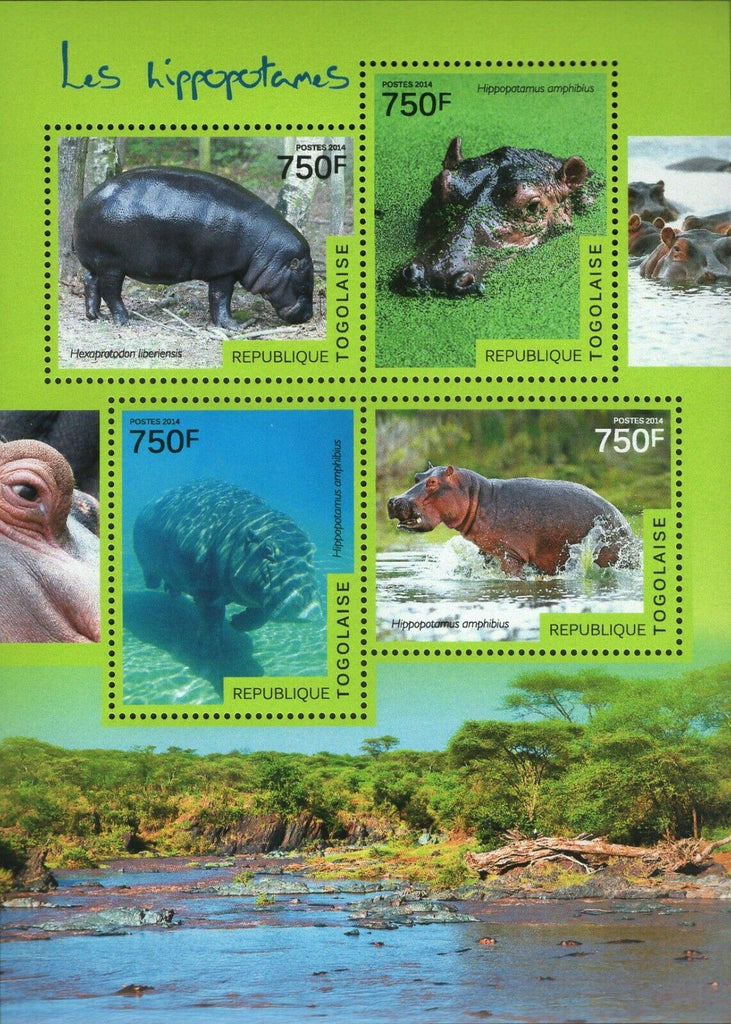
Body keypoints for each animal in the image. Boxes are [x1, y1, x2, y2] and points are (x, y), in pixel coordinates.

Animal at [73, 167, 314, 329]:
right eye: (304, 286)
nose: (309, 316)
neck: (267, 249)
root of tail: (85, 202)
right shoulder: (223, 270)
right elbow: (220, 298)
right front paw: (235, 327)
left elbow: (218, 298)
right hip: (112, 266)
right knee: (110, 291)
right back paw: (126, 320)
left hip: (98, 263)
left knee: (90, 281)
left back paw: (96, 316)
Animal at [133, 480, 322, 639]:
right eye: (267, 550)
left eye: (312, 551)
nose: (309, 608)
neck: (237, 532)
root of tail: (152, 500)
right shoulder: (205, 590)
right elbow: (212, 615)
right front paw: (210, 640)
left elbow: (260, 616)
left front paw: (237, 622)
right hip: (149, 564)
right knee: (152, 578)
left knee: (172, 585)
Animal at [387, 464, 634, 577]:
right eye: (417, 477)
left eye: (433, 483)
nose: (394, 500)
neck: (478, 498)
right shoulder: (489, 549)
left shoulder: (510, 554)